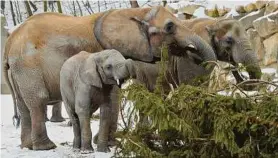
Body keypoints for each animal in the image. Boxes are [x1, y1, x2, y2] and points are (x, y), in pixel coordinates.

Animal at [3, 6, 215, 151]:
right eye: (170, 27)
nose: (193, 53)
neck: (133, 12)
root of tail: (10, 41)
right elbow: (114, 96)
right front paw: (110, 144)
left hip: (19, 72)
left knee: (24, 105)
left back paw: (27, 147)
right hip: (28, 67)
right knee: (38, 101)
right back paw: (46, 147)